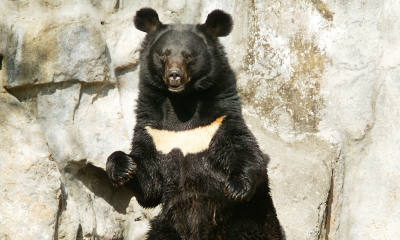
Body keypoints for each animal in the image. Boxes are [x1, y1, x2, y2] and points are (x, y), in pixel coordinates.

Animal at [105, 7, 282, 240]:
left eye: (188, 56)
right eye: (163, 55)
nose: (174, 76)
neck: (182, 104)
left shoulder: (219, 122)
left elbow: (245, 150)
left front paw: (236, 187)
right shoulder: (154, 130)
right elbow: (150, 181)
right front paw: (123, 167)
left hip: (244, 223)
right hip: (169, 225)